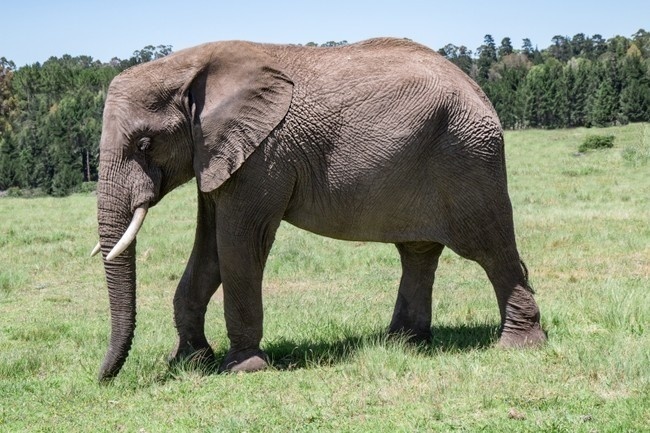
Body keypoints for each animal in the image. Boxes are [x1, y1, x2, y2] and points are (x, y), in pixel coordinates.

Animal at [93, 38, 544, 382]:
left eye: (145, 143)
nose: (102, 380)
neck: (189, 66)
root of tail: (477, 87)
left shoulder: (263, 156)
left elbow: (240, 244)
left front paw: (242, 368)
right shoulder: (218, 155)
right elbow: (209, 251)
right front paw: (189, 361)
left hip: (469, 157)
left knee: (491, 249)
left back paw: (519, 345)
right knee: (418, 253)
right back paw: (402, 344)